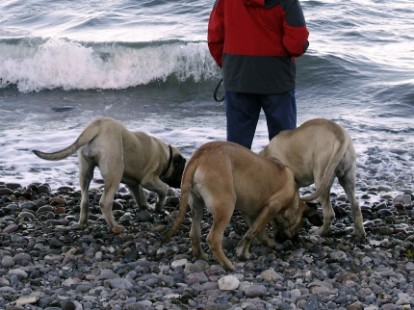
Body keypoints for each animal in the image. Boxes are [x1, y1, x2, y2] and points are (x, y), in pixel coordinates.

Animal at [33, 117, 185, 234]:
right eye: (181, 170)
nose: (180, 184)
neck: (166, 155)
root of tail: (96, 127)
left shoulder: (134, 184)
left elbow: (140, 197)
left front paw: (147, 207)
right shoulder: (149, 180)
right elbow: (163, 189)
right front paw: (159, 207)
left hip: (85, 170)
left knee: (84, 200)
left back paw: (82, 223)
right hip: (115, 171)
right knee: (105, 202)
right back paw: (115, 226)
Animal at [163, 141, 318, 272]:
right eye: (298, 227)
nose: (294, 241)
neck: (294, 197)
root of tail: (200, 155)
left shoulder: (250, 213)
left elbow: (257, 232)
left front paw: (260, 246)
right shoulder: (271, 207)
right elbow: (253, 232)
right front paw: (243, 252)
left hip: (197, 206)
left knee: (194, 234)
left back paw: (201, 256)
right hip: (226, 206)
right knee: (213, 239)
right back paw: (228, 265)